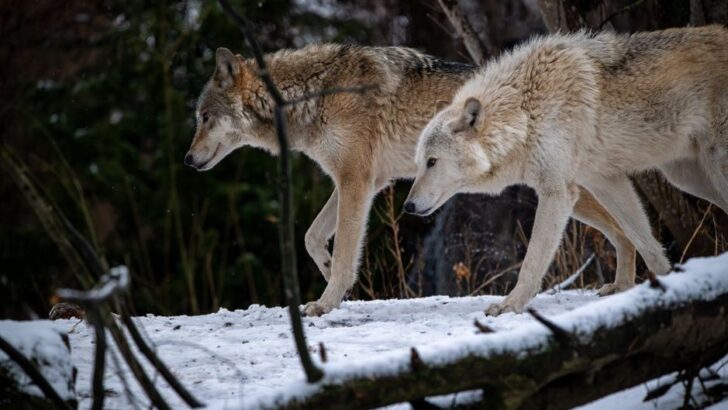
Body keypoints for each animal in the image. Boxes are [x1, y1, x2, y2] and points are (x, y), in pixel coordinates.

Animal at [185, 43, 637, 316]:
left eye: (205, 118)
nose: (187, 160)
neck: (311, 95)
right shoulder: (366, 182)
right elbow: (312, 237)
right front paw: (328, 270)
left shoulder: (355, 180)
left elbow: (347, 251)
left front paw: (327, 301)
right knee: (625, 231)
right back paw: (624, 288)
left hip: (564, 191)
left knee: (624, 231)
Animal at [405, 25, 728, 315]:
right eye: (418, 163)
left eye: (432, 162)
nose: (407, 206)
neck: (524, 111)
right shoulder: (603, 181)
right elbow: (643, 242)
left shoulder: (557, 193)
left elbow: (532, 260)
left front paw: (510, 305)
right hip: (686, 178)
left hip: (710, 170)